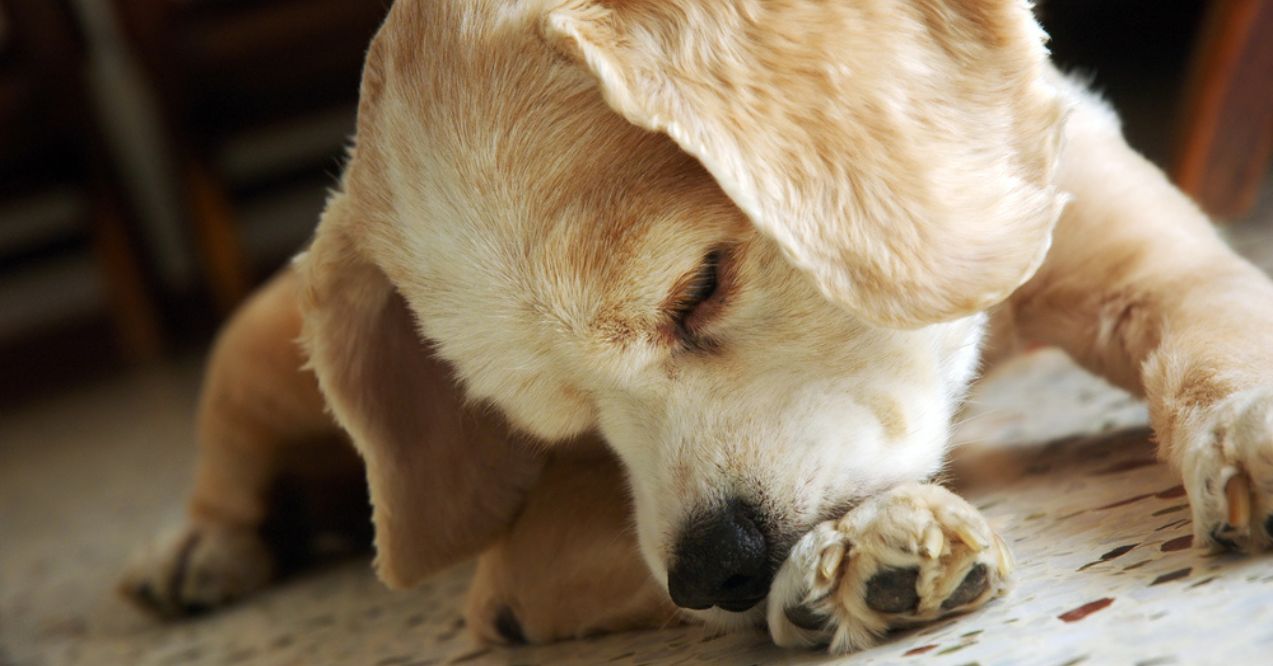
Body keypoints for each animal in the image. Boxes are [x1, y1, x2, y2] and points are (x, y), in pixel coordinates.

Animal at [124, 0, 1273, 657]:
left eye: (699, 287)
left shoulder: (1141, 253)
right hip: (257, 357)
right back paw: (196, 552)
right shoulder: (526, 564)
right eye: (554, 426)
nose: (717, 568)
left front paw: (1246, 427)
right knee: (226, 461)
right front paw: (855, 552)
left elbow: (1216, 319)